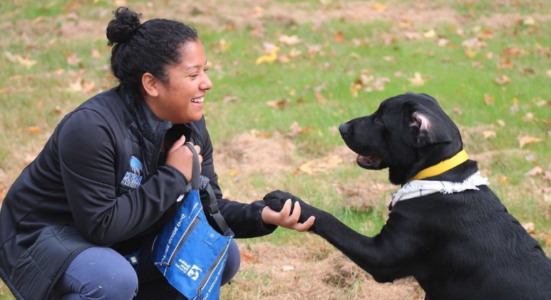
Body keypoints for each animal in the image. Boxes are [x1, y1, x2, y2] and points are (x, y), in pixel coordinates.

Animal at [266, 92, 551, 298]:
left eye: (380, 119)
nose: (341, 126)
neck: (438, 178)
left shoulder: (382, 256)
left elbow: (330, 221)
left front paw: (285, 200)